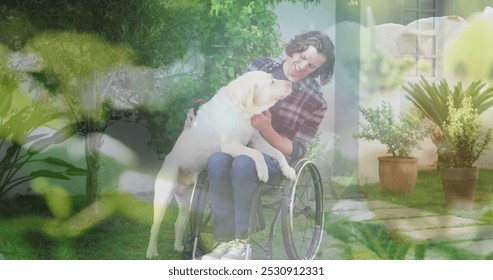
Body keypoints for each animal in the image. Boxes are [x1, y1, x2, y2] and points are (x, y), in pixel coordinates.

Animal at [144, 70, 294, 258]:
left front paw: (288, 170)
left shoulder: (256, 139)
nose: (290, 84)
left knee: (179, 223)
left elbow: (278, 152)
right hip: (164, 196)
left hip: (187, 202)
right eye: (271, 81)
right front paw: (263, 170)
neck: (241, 110)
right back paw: (151, 251)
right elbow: (257, 154)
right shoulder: (231, 145)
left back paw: (179, 248)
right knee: (155, 226)